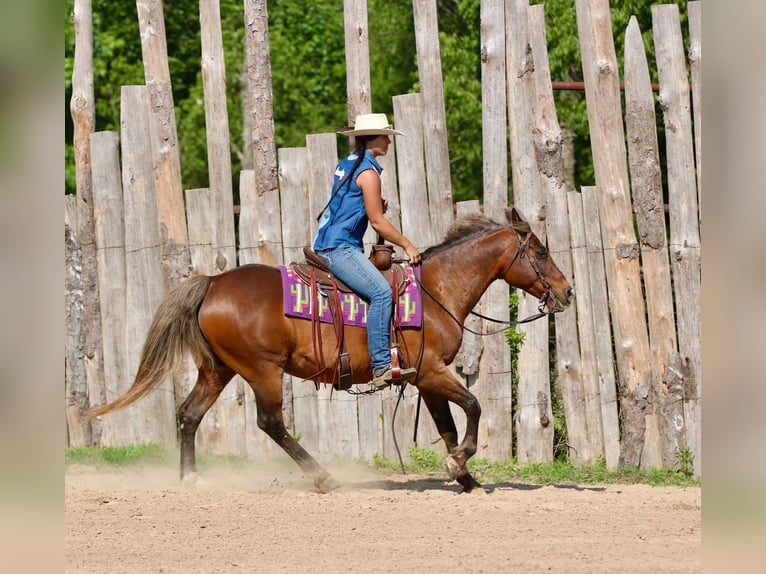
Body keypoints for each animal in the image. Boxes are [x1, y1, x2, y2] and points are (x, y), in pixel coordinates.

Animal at [83, 206, 573, 493]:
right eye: (541, 252)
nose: (567, 292)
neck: (435, 291)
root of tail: (213, 283)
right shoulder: (433, 372)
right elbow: (472, 407)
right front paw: (462, 463)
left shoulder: (424, 377)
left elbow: (448, 426)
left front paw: (464, 477)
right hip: (261, 370)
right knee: (271, 423)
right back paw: (323, 477)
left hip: (218, 369)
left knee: (189, 414)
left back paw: (192, 478)